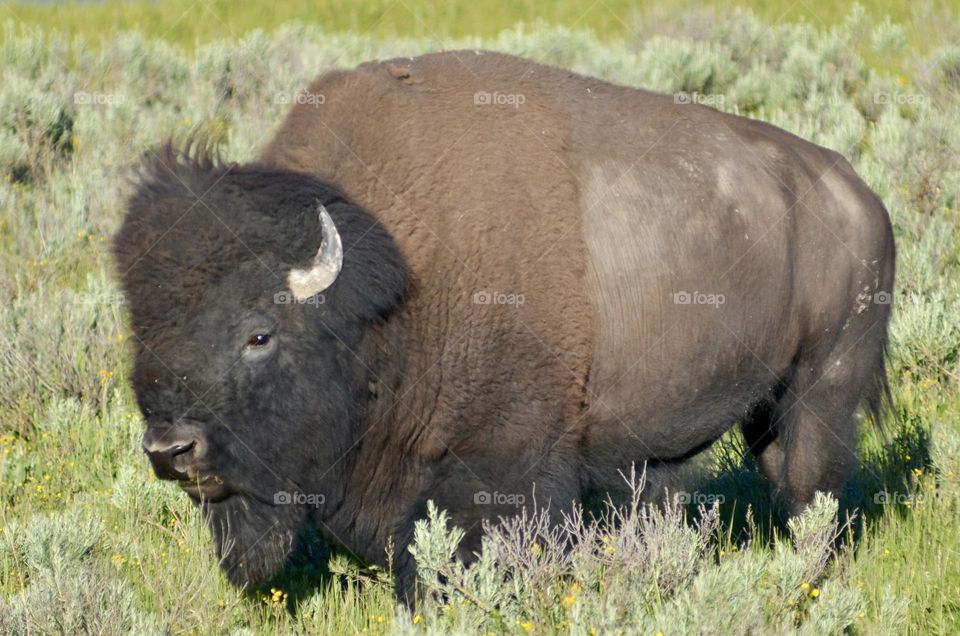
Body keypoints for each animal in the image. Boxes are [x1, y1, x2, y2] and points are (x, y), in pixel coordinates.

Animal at [113, 51, 895, 597]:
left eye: (259, 334)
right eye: (143, 328)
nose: (170, 449)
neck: (397, 287)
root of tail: (860, 195)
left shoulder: (503, 464)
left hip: (819, 392)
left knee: (810, 491)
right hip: (733, 415)